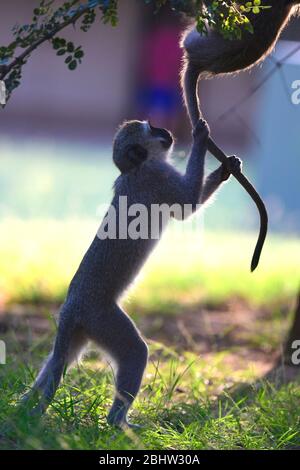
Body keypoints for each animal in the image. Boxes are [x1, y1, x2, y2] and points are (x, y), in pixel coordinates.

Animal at [21, 118, 241, 430]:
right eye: (152, 129)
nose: (167, 131)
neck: (136, 168)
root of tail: (72, 306)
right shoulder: (158, 177)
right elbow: (187, 205)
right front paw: (200, 135)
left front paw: (227, 166)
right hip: (102, 319)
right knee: (136, 352)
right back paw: (118, 423)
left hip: (80, 330)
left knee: (57, 361)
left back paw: (23, 406)